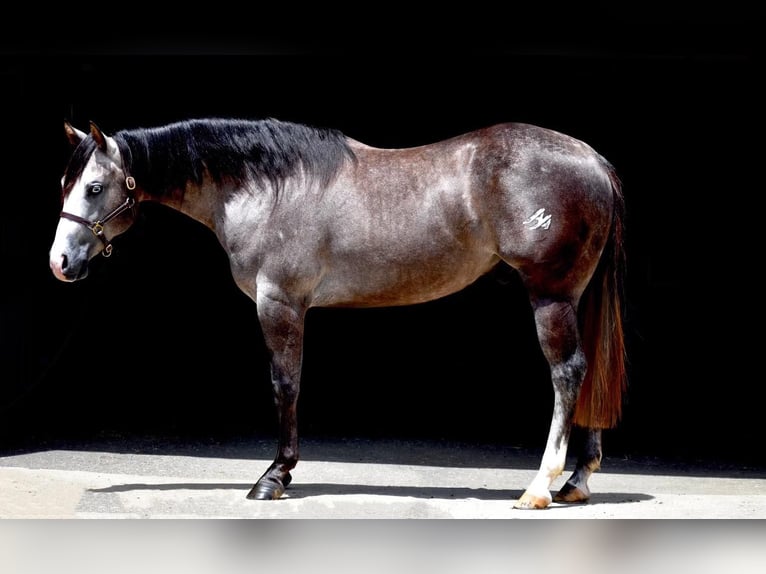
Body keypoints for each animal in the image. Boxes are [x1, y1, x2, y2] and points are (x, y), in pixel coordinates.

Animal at [51, 116, 632, 508]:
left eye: (95, 187)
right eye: (65, 184)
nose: (60, 263)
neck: (270, 188)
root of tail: (594, 160)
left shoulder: (280, 302)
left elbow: (285, 384)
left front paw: (274, 476)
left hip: (550, 296)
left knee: (567, 373)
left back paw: (539, 487)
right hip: (576, 297)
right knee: (588, 375)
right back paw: (577, 481)